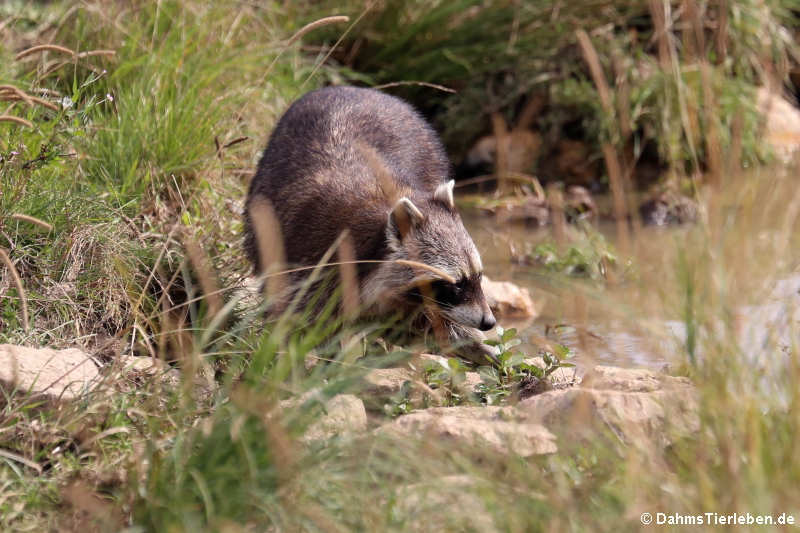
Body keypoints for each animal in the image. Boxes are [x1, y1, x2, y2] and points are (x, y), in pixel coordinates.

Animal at [242, 85, 494, 364]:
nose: (489, 322)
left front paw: (472, 342)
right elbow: (305, 320)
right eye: (456, 283)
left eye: (478, 276)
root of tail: (355, 88)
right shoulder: (311, 257)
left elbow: (421, 321)